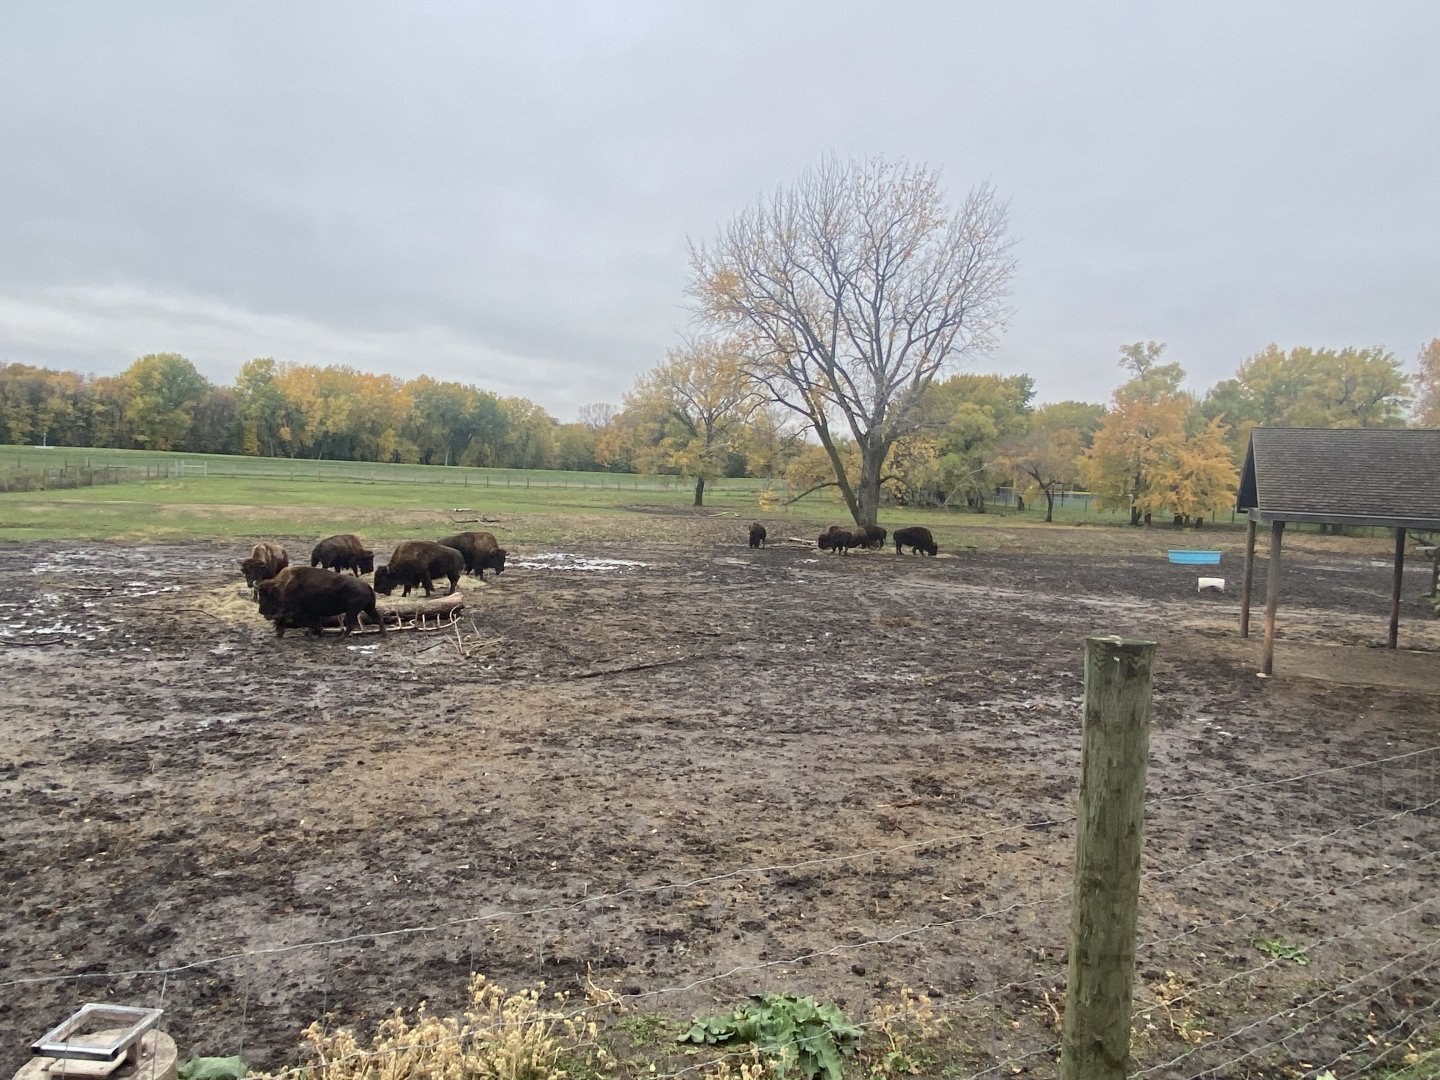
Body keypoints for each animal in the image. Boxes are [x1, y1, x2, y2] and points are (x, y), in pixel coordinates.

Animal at [256, 566, 384, 638]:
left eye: (264, 595)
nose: (261, 611)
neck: (282, 587)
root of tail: (366, 585)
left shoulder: (297, 612)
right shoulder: (311, 613)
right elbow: (314, 623)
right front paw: (317, 633)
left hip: (352, 611)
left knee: (352, 624)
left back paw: (341, 637)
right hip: (368, 608)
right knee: (377, 618)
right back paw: (383, 634)